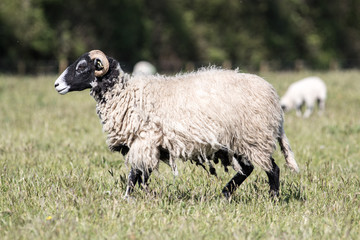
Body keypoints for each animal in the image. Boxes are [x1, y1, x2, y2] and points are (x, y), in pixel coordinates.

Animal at [54, 49, 300, 200]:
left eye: (82, 66)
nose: (56, 85)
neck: (125, 94)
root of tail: (273, 96)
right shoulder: (148, 144)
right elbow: (142, 175)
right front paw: (144, 196)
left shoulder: (144, 139)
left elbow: (135, 174)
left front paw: (128, 198)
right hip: (240, 141)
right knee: (249, 169)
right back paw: (225, 195)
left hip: (253, 137)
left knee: (272, 169)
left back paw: (272, 199)